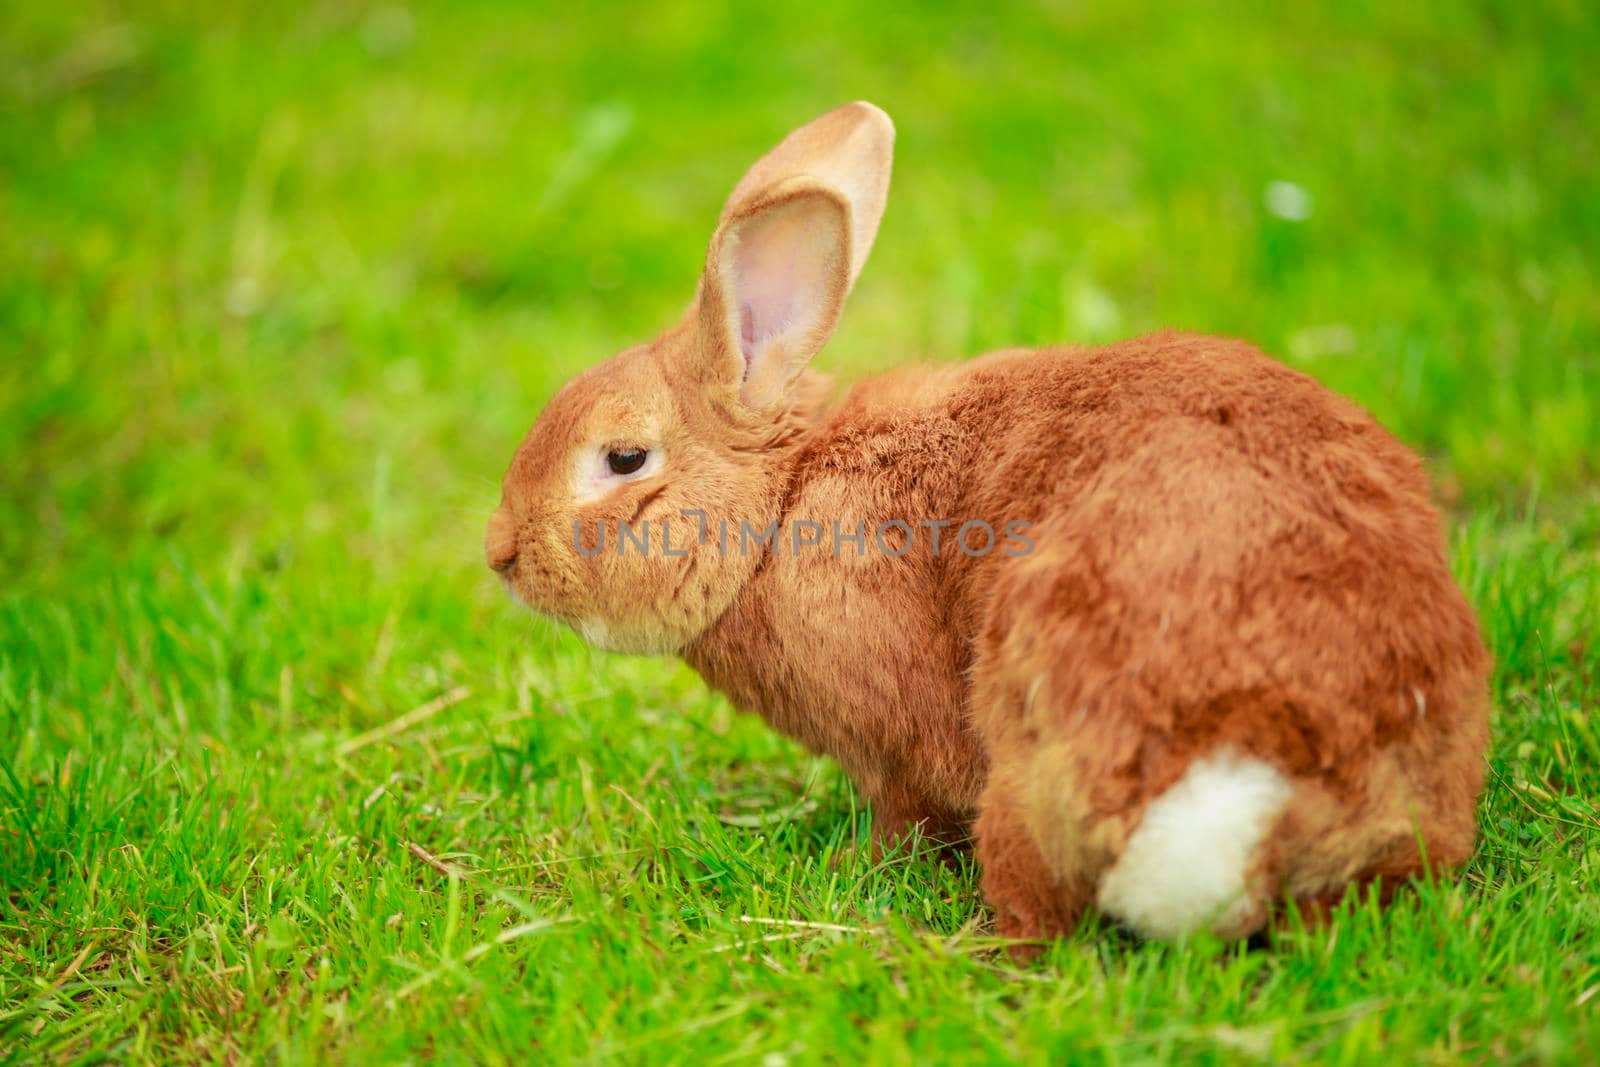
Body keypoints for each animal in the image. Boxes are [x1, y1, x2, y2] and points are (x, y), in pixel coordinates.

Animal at [483, 97, 1484, 934]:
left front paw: (860, 867)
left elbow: (904, 813)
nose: (500, 555)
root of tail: (1255, 786)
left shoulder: (896, 747)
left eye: (623, 460)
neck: (781, 501)